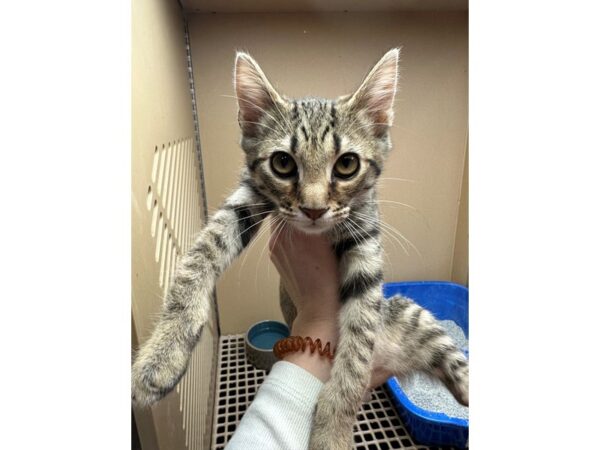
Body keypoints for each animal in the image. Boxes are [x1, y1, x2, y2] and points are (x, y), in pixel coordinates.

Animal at [134, 49, 472, 450]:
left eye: (347, 164)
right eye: (282, 163)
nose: (313, 209)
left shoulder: (365, 239)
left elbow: (358, 346)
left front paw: (333, 430)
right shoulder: (248, 197)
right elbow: (201, 252)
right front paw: (163, 353)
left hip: (411, 316)